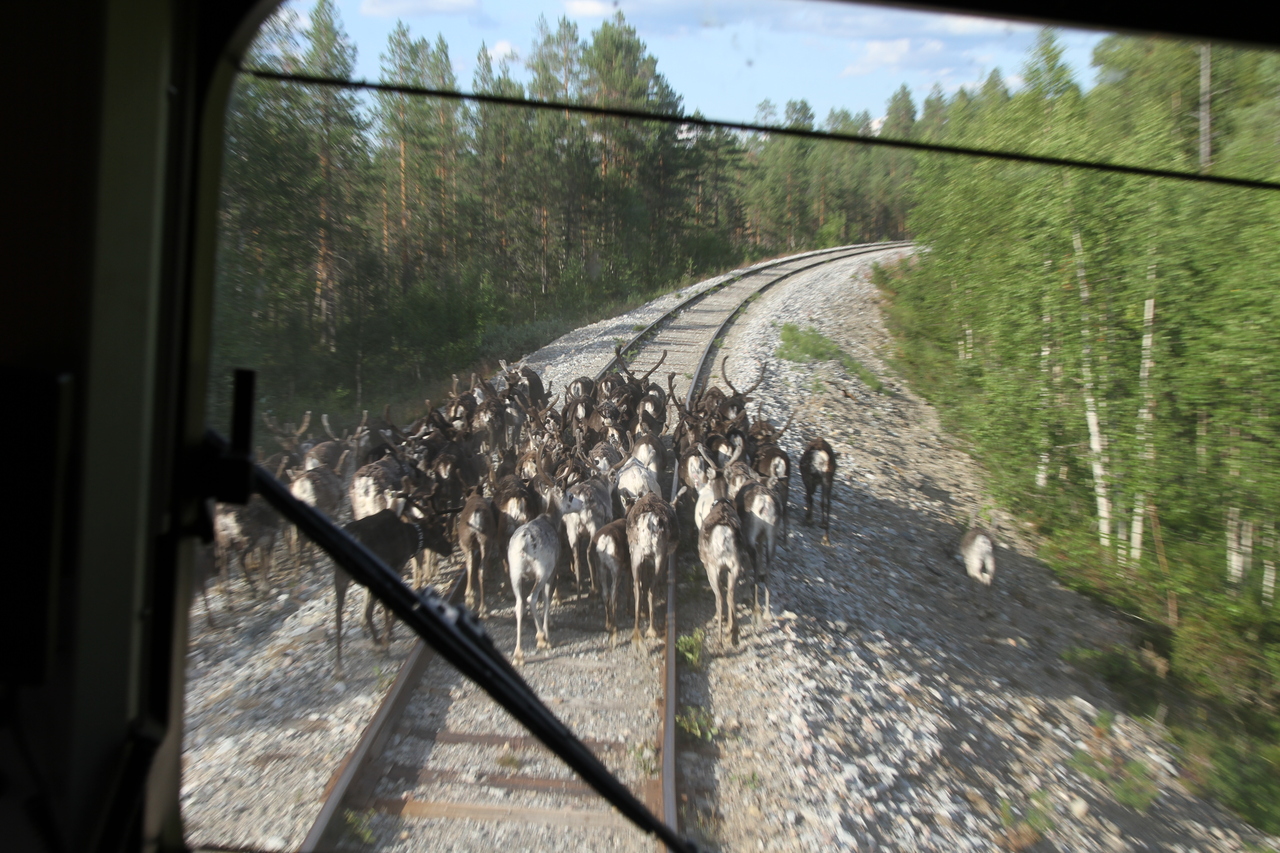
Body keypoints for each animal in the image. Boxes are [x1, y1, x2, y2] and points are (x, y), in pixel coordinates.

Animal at [626, 492, 678, 648]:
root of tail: (647, 521)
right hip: (659, 555)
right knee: (651, 589)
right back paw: (652, 630)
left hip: (636, 555)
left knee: (637, 587)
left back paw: (637, 633)